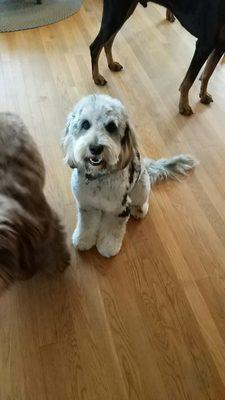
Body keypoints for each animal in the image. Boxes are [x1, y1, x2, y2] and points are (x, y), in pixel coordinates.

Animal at [62, 94, 197, 258]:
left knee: (142, 202)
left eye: (111, 126)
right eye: (85, 124)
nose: (95, 148)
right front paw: (83, 240)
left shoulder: (120, 209)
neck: (99, 177)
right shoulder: (86, 206)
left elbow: (113, 230)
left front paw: (108, 247)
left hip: (141, 188)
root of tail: (146, 166)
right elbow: (85, 225)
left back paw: (139, 210)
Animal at [90, 1, 225, 116]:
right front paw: (183, 105)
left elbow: (208, 73)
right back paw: (97, 77)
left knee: (108, 42)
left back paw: (112, 65)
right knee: (95, 46)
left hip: (124, 12)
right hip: (116, 13)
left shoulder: (220, 45)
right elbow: (189, 81)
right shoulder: (204, 44)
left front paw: (203, 95)